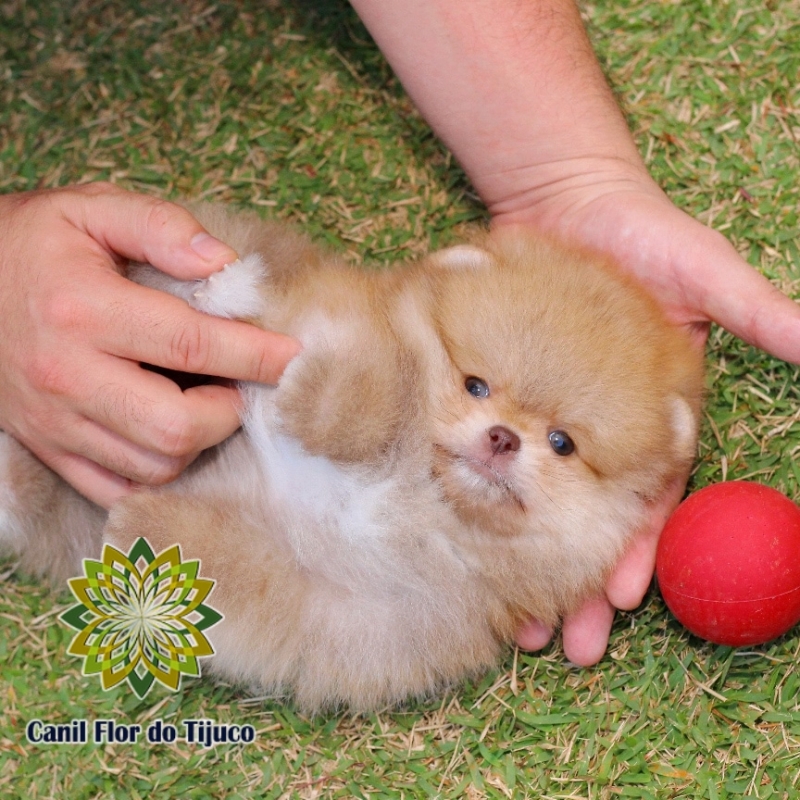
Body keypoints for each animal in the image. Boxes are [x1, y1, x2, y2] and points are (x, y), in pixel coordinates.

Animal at [0, 208, 704, 712]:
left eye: (562, 443)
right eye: (475, 385)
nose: (504, 437)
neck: (416, 489)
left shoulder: (348, 604)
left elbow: (235, 572)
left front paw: (145, 522)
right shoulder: (353, 320)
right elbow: (375, 379)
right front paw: (310, 390)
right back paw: (220, 287)